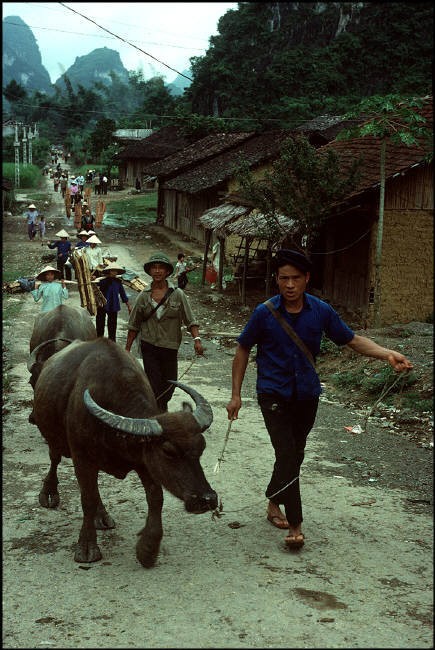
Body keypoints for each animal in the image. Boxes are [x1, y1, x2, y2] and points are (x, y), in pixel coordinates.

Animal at [30, 336, 218, 564]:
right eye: (168, 451)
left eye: (201, 447)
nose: (207, 499)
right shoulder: (81, 457)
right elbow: (87, 499)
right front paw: (87, 547)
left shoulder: (145, 460)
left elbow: (156, 498)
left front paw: (147, 549)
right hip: (53, 437)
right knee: (55, 459)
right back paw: (49, 494)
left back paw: (101, 516)